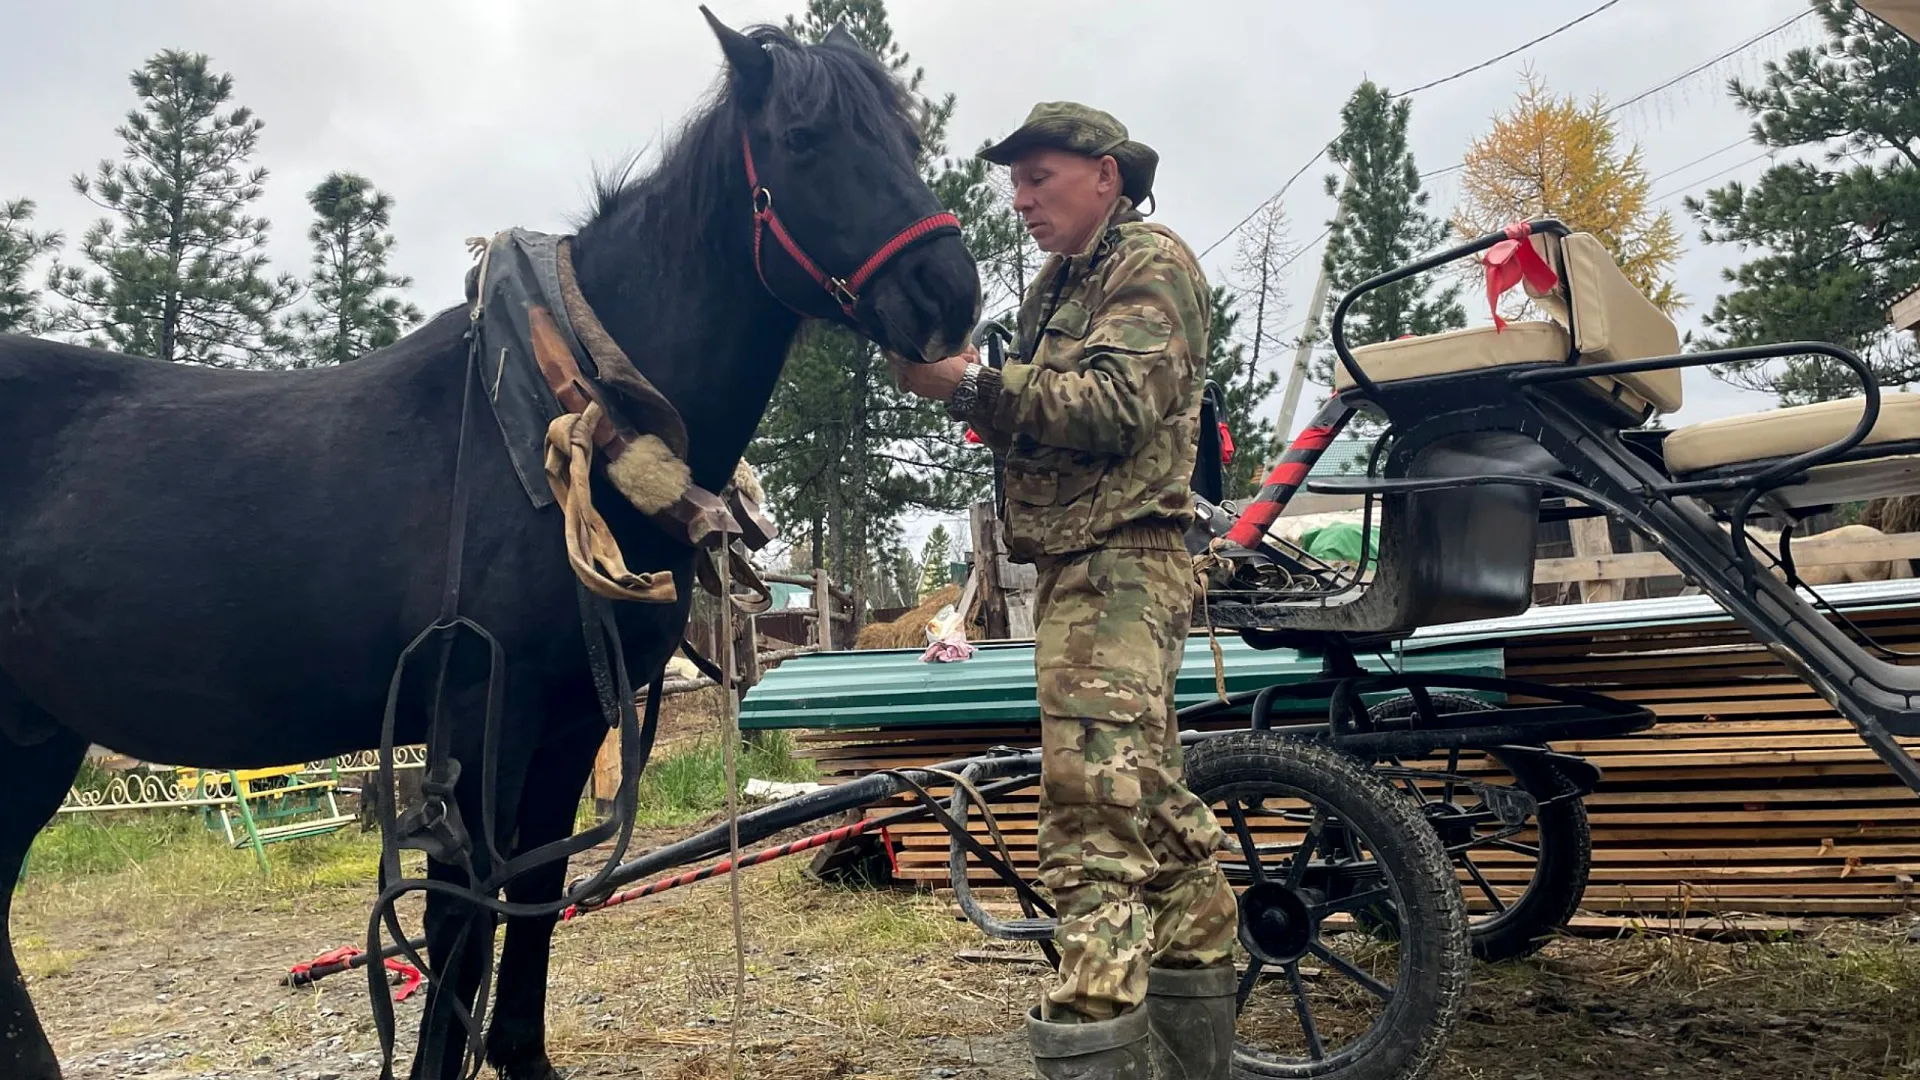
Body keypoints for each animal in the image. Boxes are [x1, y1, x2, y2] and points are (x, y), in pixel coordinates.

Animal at [0, 10, 983, 1076]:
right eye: (803, 140)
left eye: (906, 138)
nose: (949, 294)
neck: (550, 431)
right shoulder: (479, 717)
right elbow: (459, 920)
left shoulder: (569, 720)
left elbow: (533, 900)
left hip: (33, 737)